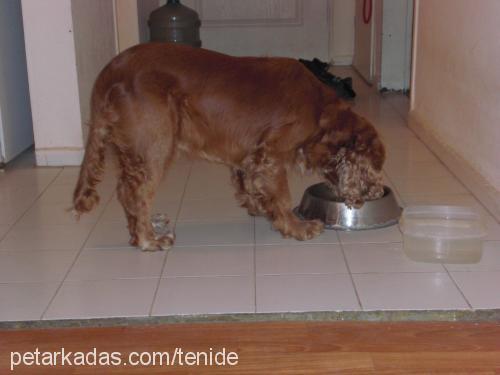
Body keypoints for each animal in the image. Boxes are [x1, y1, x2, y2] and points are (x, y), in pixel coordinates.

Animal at [72, 42, 386, 251]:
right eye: (375, 170)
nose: (379, 192)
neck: (322, 111)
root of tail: (113, 69)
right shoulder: (271, 154)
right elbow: (282, 197)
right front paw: (298, 227)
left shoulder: (250, 155)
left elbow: (250, 185)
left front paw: (261, 208)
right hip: (156, 146)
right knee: (137, 193)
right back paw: (149, 239)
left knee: (124, 190)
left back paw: (140, 232)